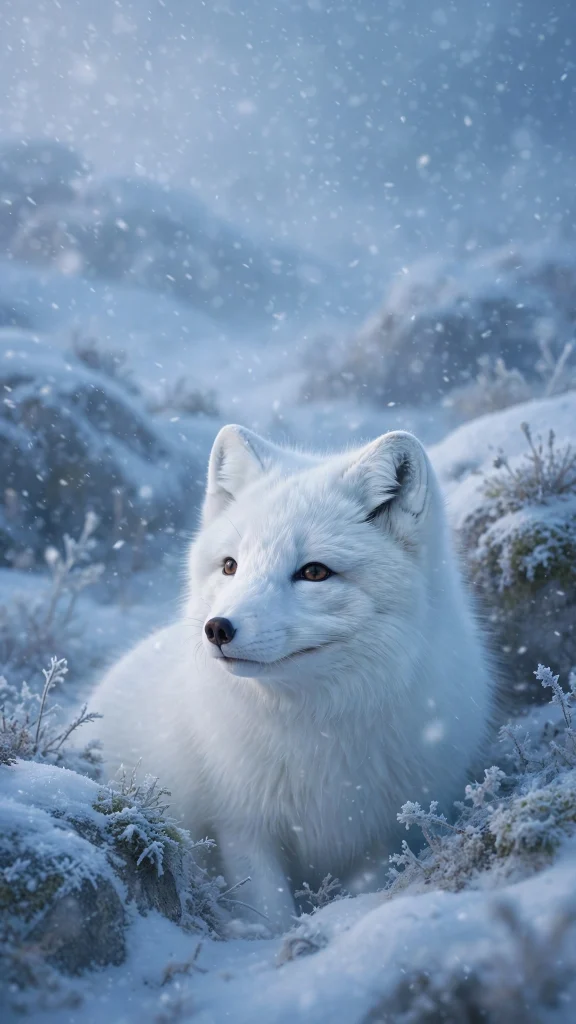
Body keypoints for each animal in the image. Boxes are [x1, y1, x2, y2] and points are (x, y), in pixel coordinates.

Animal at [90, 425, 494, 933]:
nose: (217, 628)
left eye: (314, 572)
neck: (317, 726)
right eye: (230, 566)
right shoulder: (242, 824)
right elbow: (271, 912)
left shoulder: (380, 833)